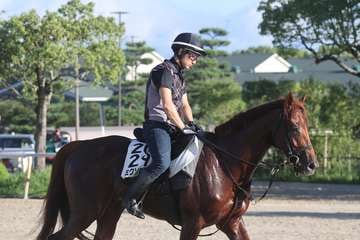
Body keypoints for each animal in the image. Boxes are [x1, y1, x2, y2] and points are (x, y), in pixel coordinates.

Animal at [37, 93, 318, 240]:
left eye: (307, 125)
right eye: (295, 127)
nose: (311, 164)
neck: (224, 162)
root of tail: (78, 146)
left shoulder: (232, 222)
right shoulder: (192, 224)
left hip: (108, 213)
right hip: (85, 213)